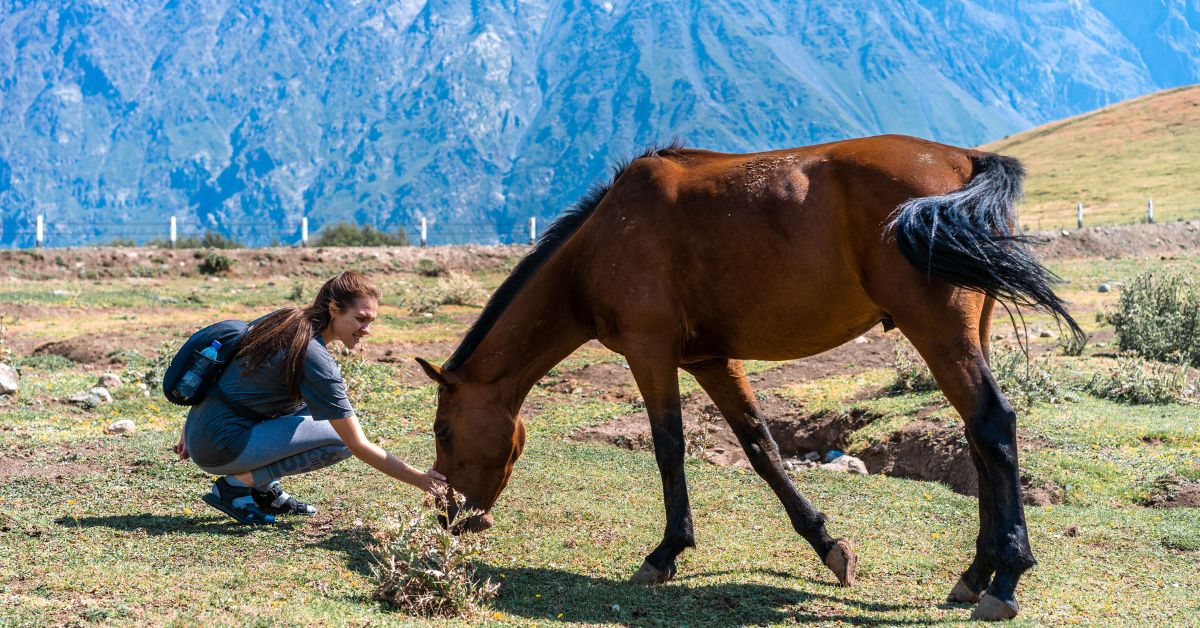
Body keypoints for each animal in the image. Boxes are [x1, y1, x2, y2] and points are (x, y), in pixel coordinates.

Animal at [417, 135, 1084, 619]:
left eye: (443, 432)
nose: (451, 519)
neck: (602, 240)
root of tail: (962, 158)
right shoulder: (711, 359)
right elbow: (760, 446)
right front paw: (828, 547)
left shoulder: (649, 352)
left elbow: (669, 448)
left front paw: (664, 554)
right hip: (970, 331)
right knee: (977, 437)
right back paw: (974, 574)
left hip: (939, 331)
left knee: (993, 424)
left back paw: (1005, 580)